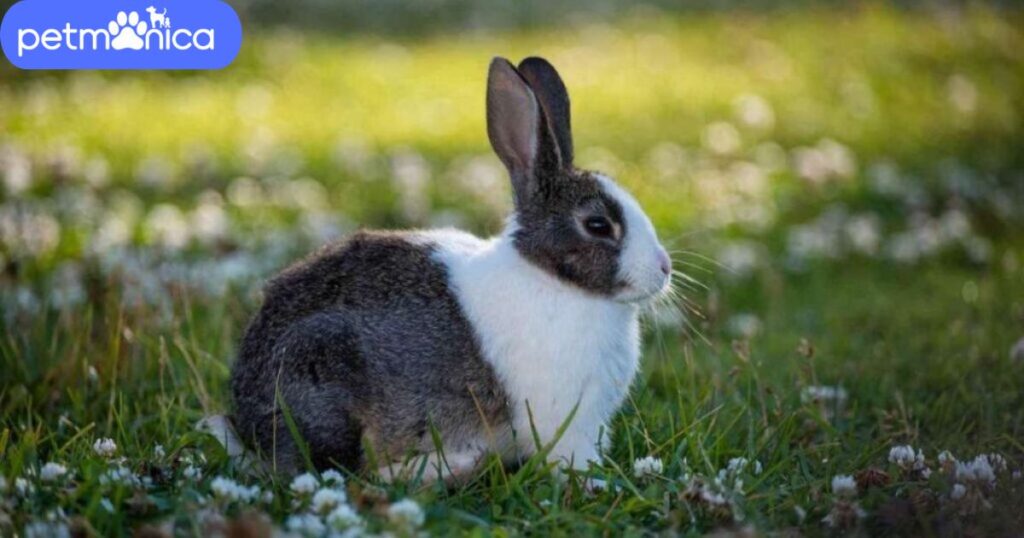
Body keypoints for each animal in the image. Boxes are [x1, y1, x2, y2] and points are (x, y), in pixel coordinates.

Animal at [216, 55, 671, 481]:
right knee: (343, 470)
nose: (664, 268)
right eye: (598, 225)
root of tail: (246, 418)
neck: (551, 277)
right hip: (320, 373)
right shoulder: (567, 424)